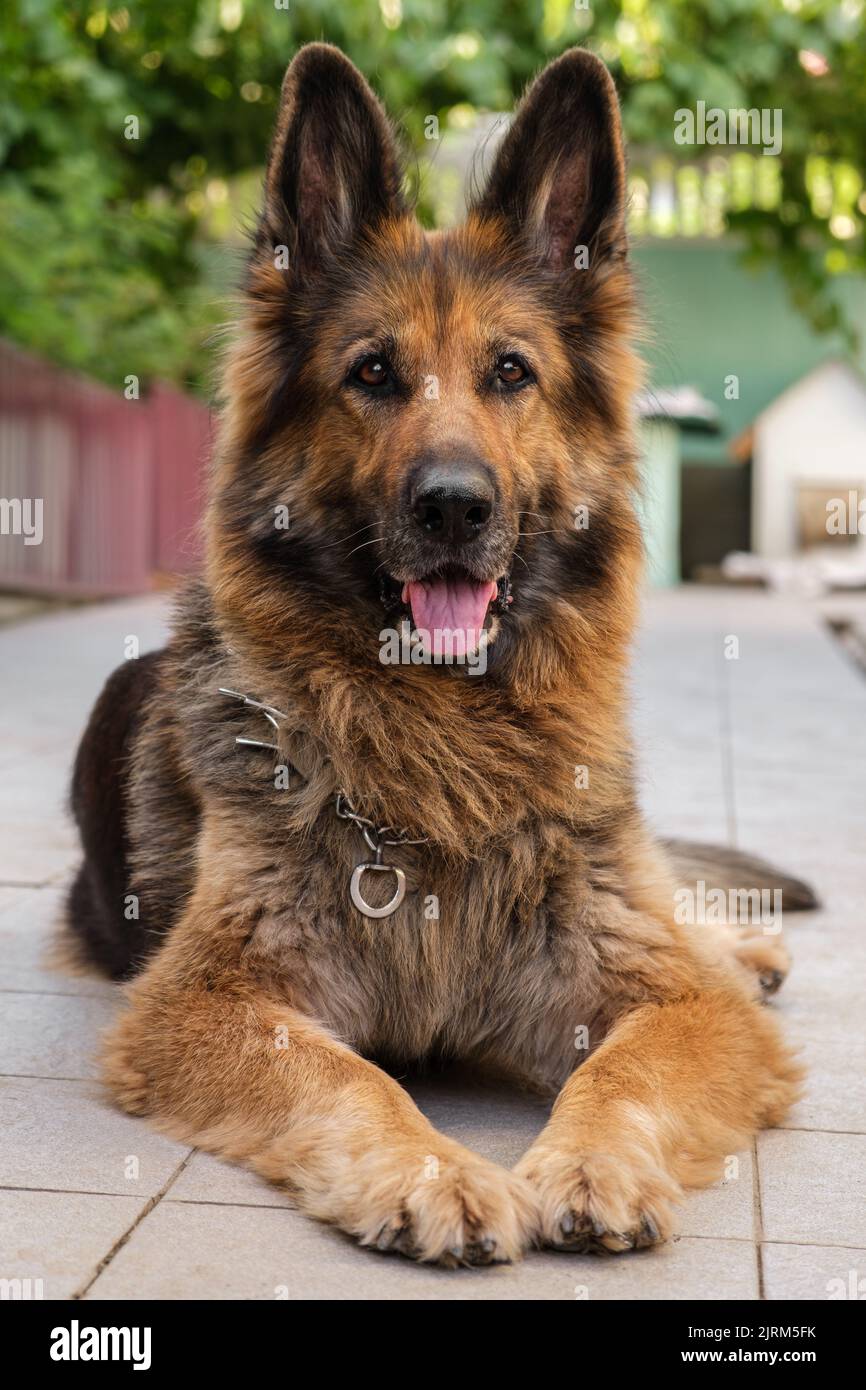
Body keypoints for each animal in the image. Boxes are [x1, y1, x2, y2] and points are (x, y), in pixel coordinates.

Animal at [66, 43, 811, 1267]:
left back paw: (745, 951)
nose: (454, 507)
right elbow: (346, 1077)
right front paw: (435, 1172)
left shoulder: (672, 1004)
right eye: (371, 373)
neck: (442, 738)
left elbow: (629, 1063)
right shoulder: (204, 1002)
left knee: (684, 913)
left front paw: (593, 1160)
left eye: (511, 372)